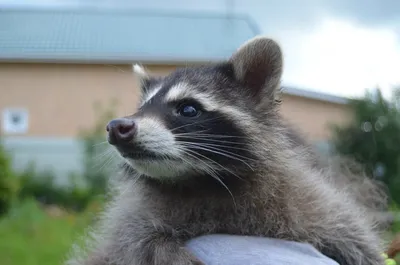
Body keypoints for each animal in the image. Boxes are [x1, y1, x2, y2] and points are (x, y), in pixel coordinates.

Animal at [65, 35, 388, 264]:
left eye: (188, 109)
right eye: (141, 108)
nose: (117, 127)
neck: (198, 180)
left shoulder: (304, 200)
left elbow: (352, 232)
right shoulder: (135, 217)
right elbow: (130, 241)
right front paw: (160, 248)